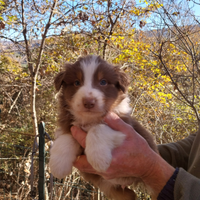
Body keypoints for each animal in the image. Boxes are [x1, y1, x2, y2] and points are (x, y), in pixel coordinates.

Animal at [48, 55, 158, 200]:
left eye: (103, 82)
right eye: (77, 83)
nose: (89, 102)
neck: (89, 119)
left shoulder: (125, 127)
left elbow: (98, 129)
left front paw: (99, 159)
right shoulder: (68, 125)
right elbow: (66, 137)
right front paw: (58, 166)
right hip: (116, 191)